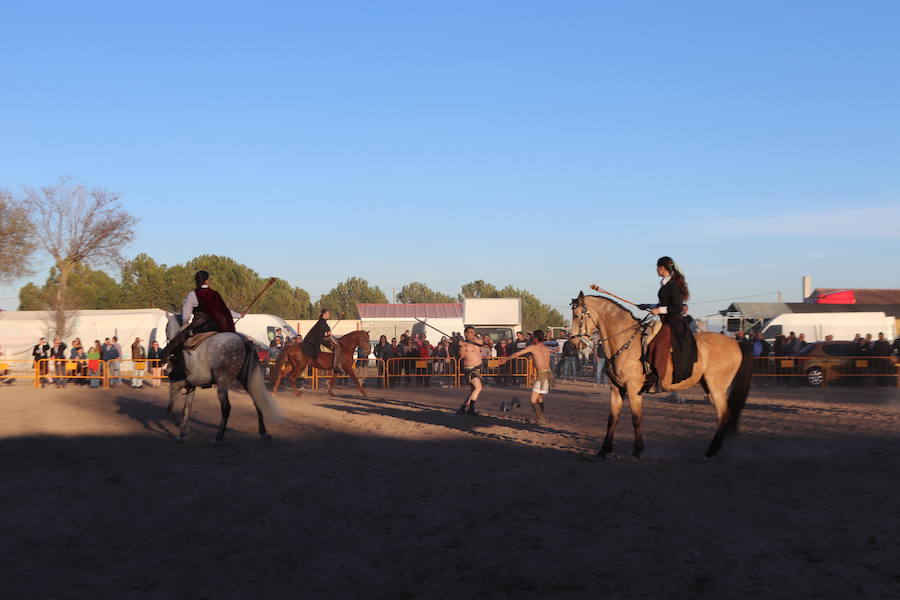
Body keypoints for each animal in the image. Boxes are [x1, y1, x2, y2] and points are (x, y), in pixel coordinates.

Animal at [568, 292, 752, 460]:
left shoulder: (633, 389)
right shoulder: (616, 388)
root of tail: (736, 343)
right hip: (709, 387)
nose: (572, 345)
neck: (625, 341)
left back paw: (711, 451)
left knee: (724, 416)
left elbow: (636, 418)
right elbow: (612, 419)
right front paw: (604, 450)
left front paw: (637, 451)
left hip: (717, 387)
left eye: (577, 315)